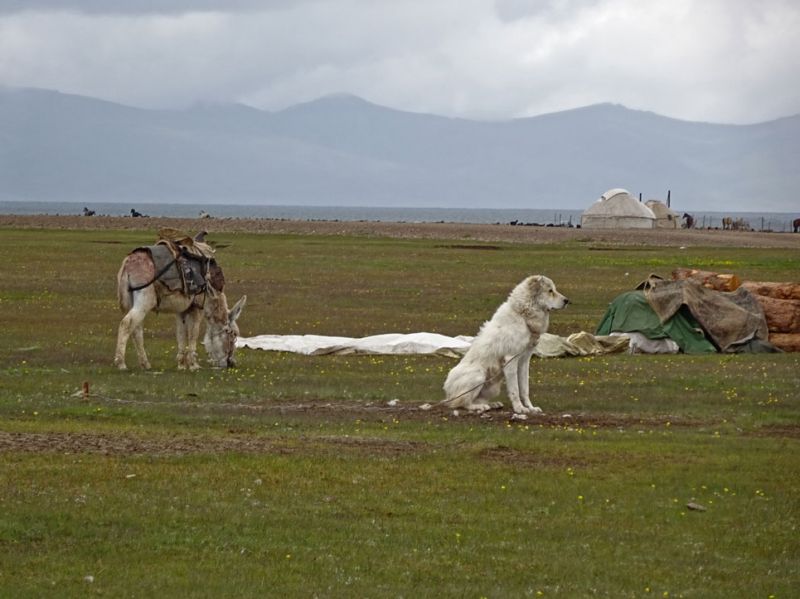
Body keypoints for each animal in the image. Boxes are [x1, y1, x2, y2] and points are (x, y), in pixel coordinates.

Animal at [112, 234, 244, 370]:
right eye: (233, 335)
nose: (231, 363)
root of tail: (127, 264)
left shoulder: (181, 310)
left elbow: (181, 334)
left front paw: (181, 364)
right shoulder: (197, 308)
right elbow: (193, 334)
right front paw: (194, 365)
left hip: (132, 302)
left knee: (136, 329)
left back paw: (145, 364)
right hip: (144, 301)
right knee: (126, 324)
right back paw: (121, 363)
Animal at [444, 276, 568, 418]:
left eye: (553, 290)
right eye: (550, 291)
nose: (567, 301)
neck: (523, 315)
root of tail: (447, 392)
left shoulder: (524, 361)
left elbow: (524, 389)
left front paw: (530, 408)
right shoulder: (511, 359)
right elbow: (515, 390)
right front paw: (519, 408)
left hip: (493, 387)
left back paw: (493, 404)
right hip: (479, 375)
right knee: (462, 402)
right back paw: (479, 407)